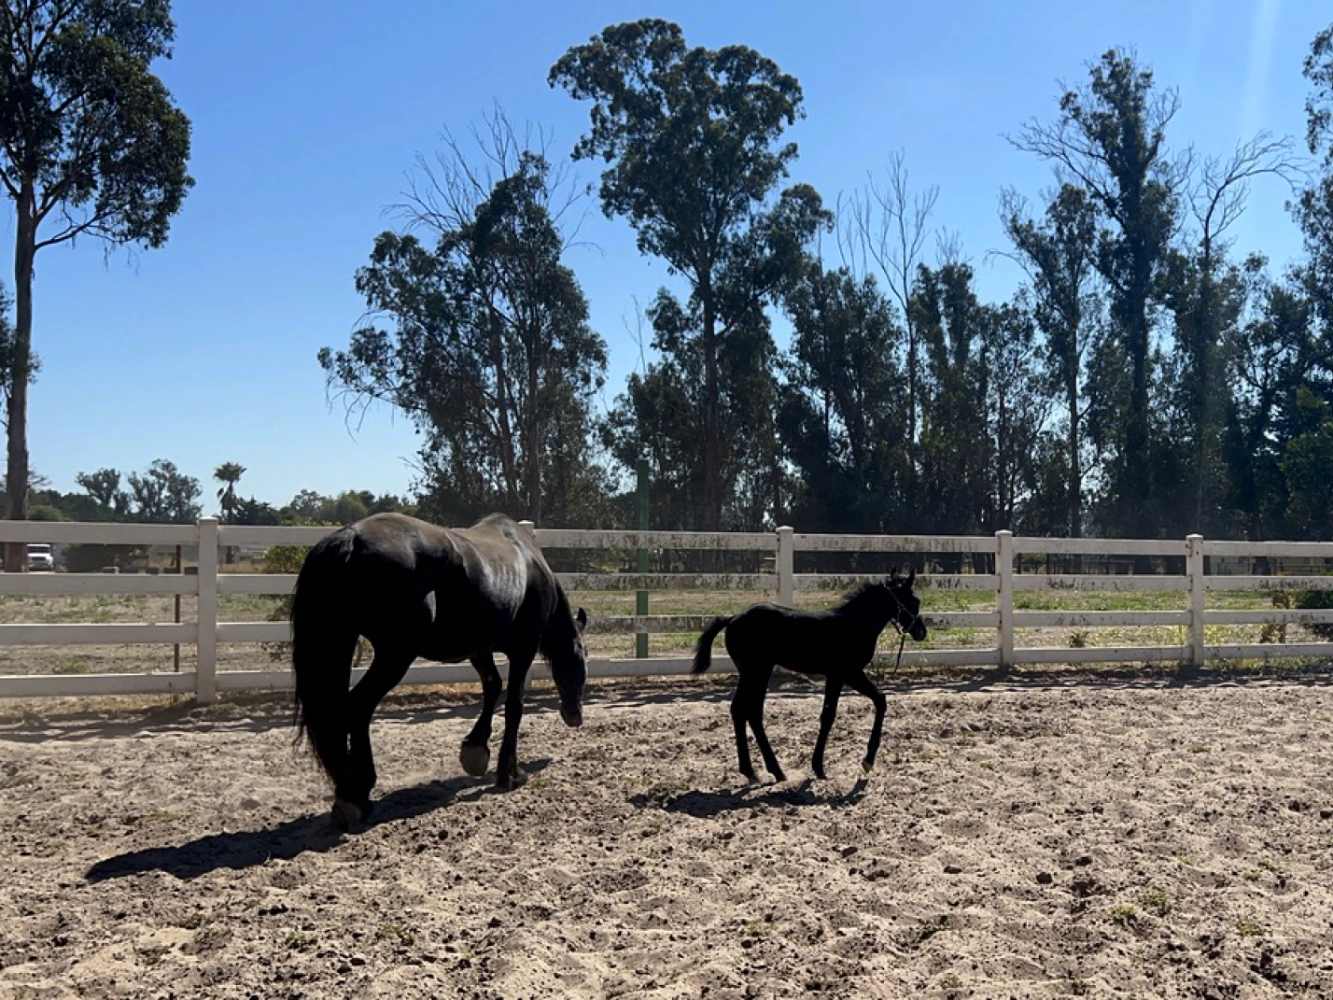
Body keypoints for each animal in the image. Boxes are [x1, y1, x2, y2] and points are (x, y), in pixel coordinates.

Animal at [290, 511, 588, 827]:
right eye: (582, 657)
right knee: (358, 707)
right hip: (395, 656)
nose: (574, 715)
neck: (528, 560)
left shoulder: (479, 649)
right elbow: (514, 705)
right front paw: (510, 773)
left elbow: (492, 687)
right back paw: (356, 795)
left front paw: (475, 750)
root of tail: (350, 539)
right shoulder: (524, 649)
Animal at [691, 571, 926, 783]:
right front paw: (861, 761)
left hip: (749, 673)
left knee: (740, 710)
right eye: (914, 601)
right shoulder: (848, 673)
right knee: (752, 712)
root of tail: (732, 618)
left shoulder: (836, 676)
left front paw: (820, 767)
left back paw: (754, 772)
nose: (922, 632)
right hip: (758, 671)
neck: (854, 625)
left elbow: (829, 715)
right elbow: (874, 701)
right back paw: (773, 770)